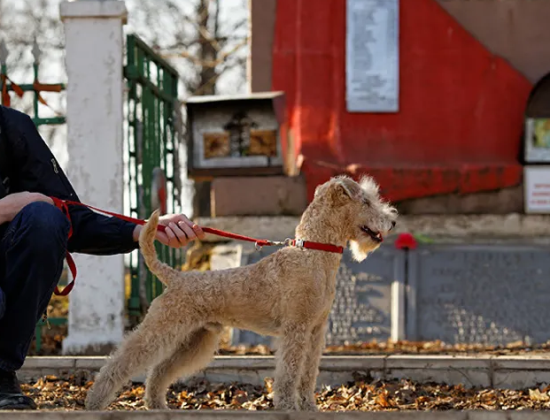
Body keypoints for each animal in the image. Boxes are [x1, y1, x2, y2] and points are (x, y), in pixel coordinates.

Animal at [85, 174, 396, 410]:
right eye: (366, 201)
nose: (392, 222)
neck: (313, 254)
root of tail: (175, 277)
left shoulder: (315, 331)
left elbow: (308, 374)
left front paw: (308, 407)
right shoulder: (296, 330)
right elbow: (289, 374)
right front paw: (287, 407)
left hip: (196, 338)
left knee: (159, 371)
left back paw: (158, 406)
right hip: (161, 329)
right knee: (118, 363)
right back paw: (95, 403)